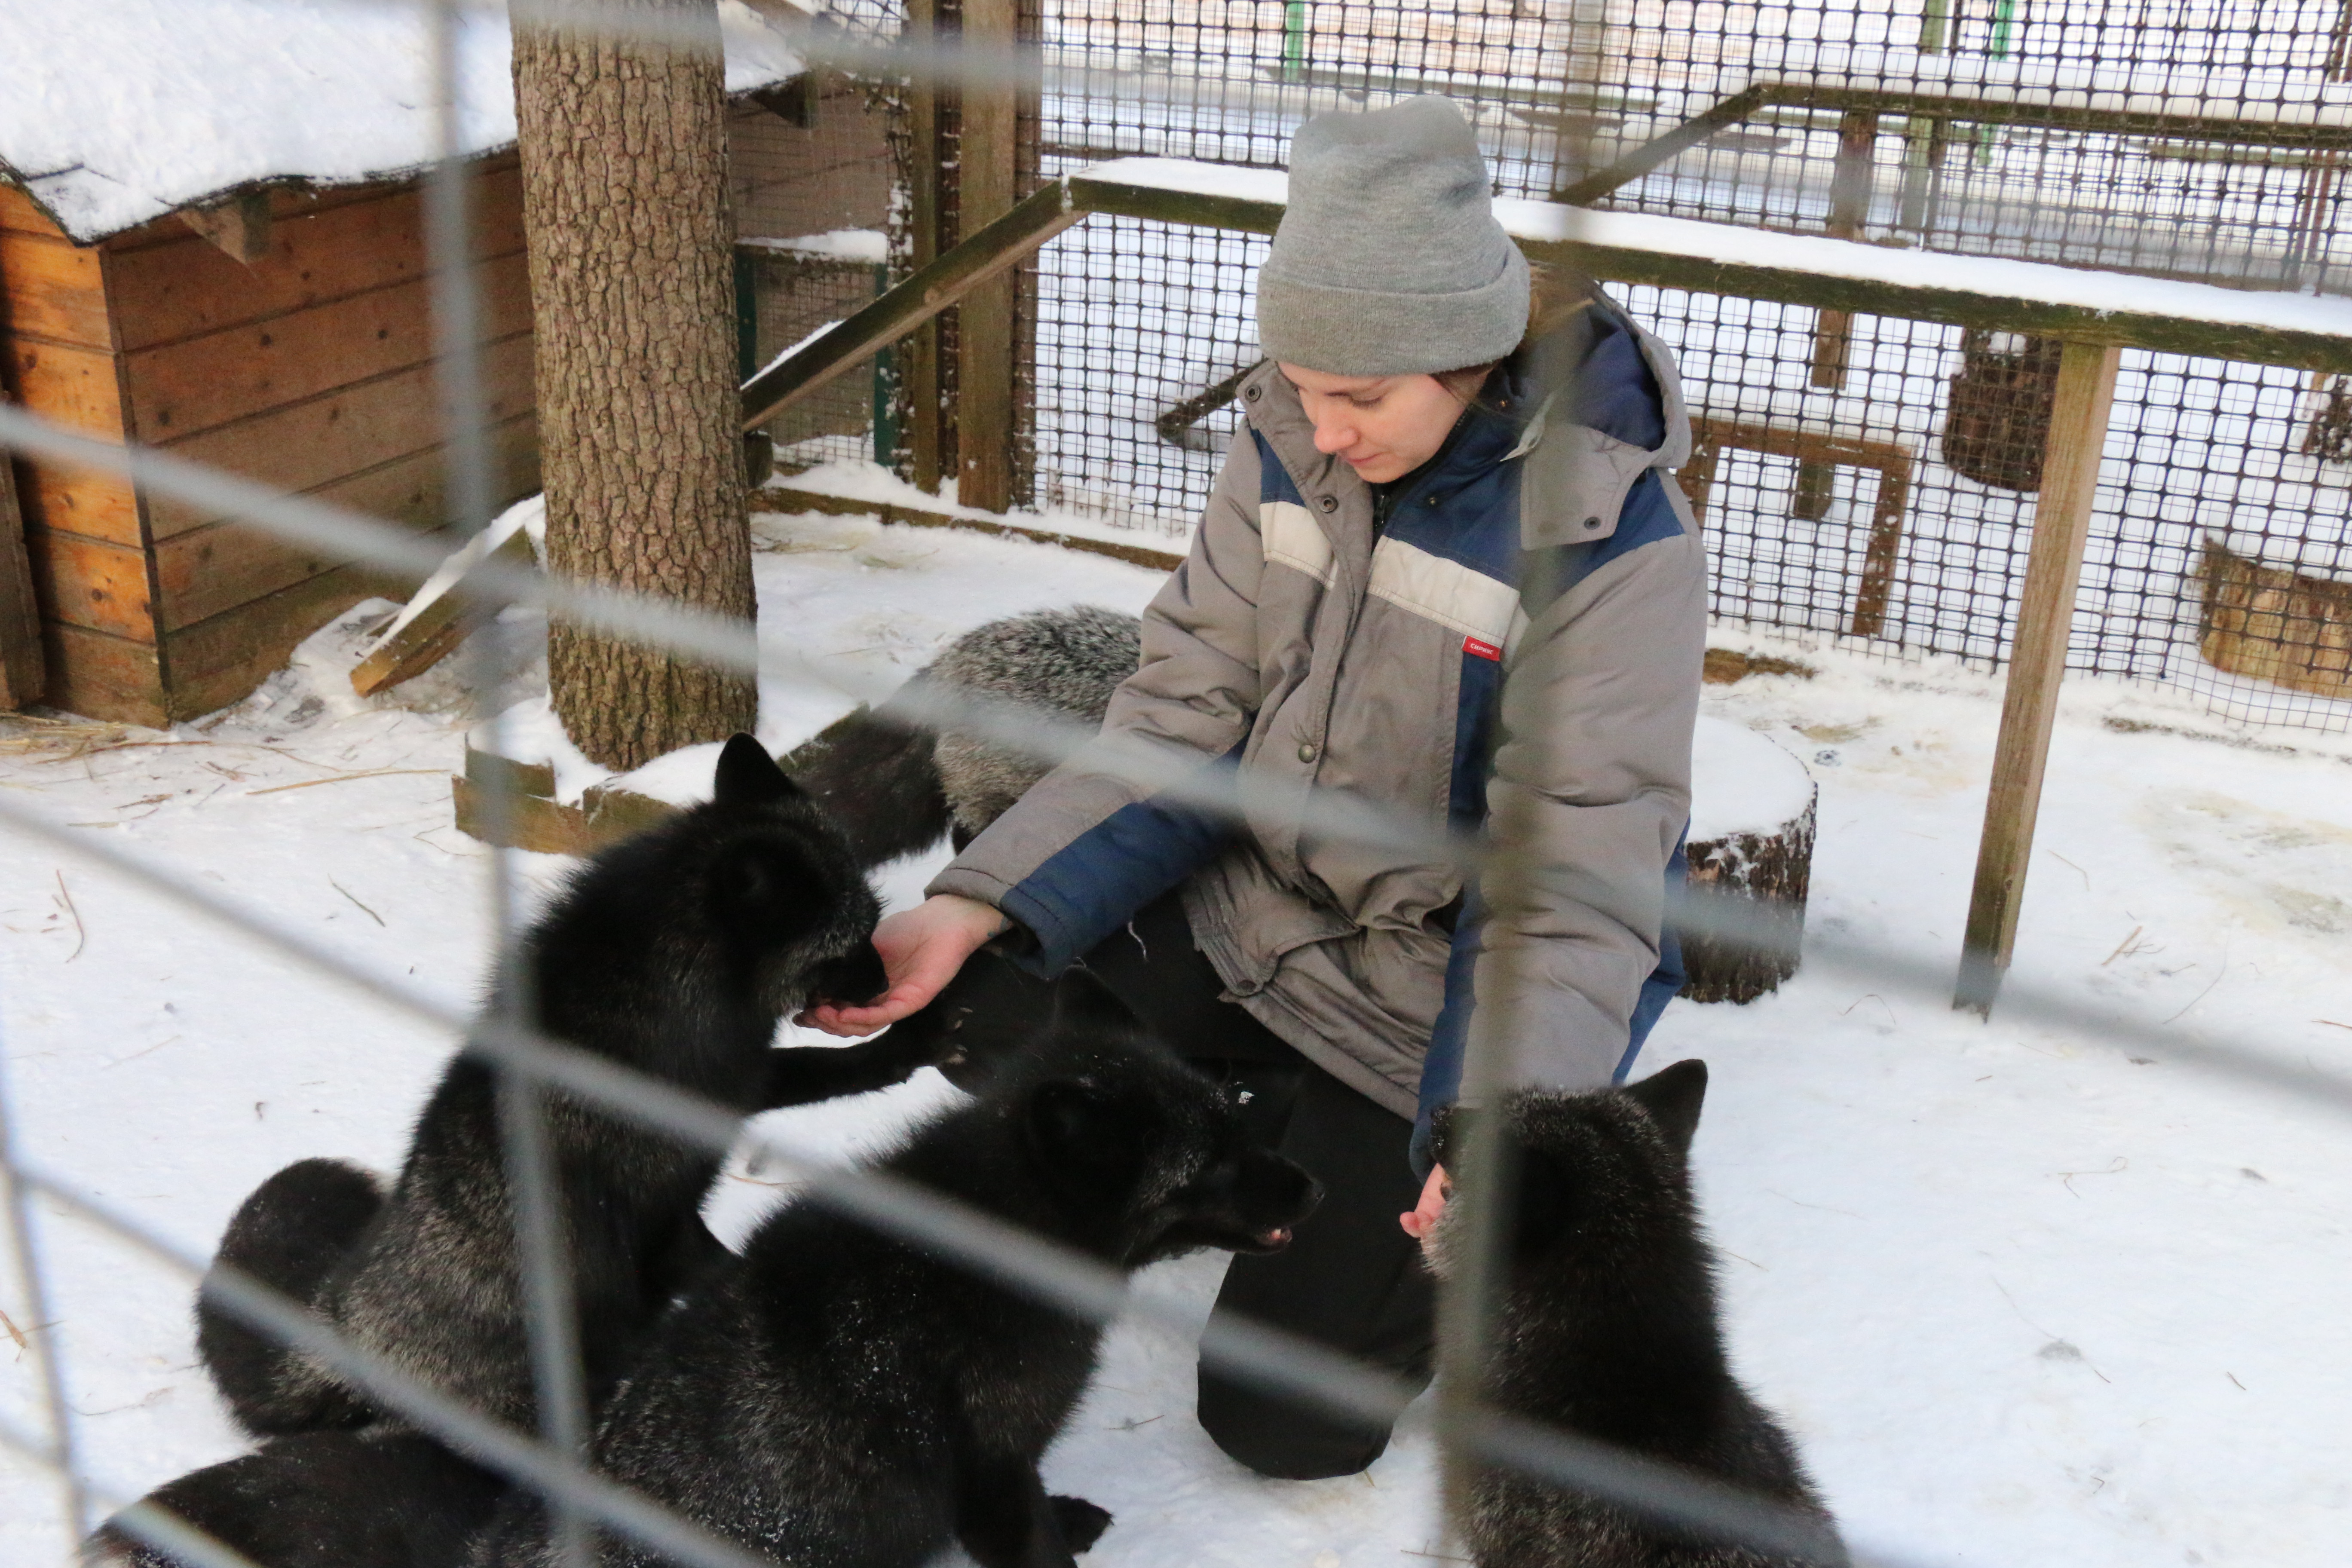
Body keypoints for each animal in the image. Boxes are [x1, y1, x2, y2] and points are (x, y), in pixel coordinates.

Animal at [477, 973, 1326, 1561]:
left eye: (1235, 1120)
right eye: (1209, 1167)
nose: (1316, 1186)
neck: (998, 1236)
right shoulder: (992, 1471)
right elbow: (1033, 1543)